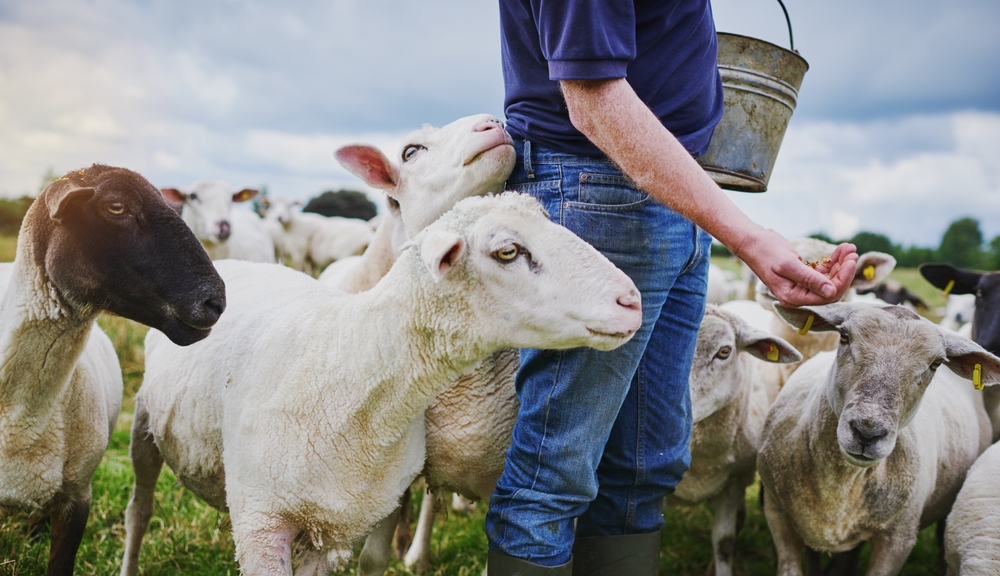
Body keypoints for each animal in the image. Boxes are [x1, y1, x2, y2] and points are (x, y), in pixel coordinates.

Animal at [119, 192, 642, 576]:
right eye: (508, 252)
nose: (632, 300)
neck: (354, 364)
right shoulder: (260, 524)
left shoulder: (330, 527)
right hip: (143, 424)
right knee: (139, 510)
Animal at [757, 302, 1000, 576]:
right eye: (844, 336)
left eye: (936, 363)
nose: (867, 432)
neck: (838, 487)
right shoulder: (777, 512)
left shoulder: (898, 537)